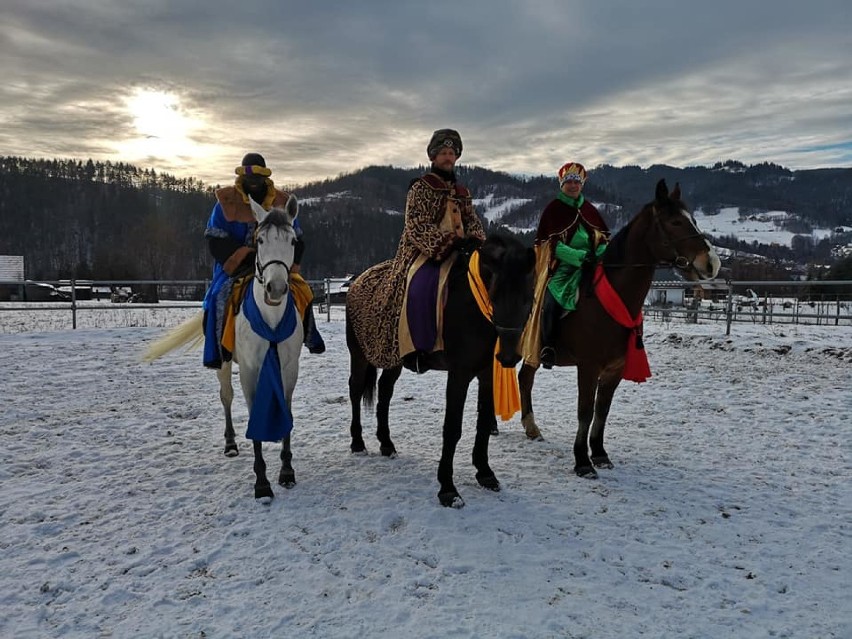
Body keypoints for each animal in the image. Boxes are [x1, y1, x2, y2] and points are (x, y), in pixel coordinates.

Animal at [146, 195, 302, 504]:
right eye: (260, 240)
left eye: (292, 241)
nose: (276, 289)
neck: (271, 318)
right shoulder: (251, 372)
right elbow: (253, 417)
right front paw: (262, 483)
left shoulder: (289, 369)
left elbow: (286, 410)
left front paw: (286, 470)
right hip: (225, 363)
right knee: (226, 397)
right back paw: (230, 442)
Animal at [344, 235, 532, 510]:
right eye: (495, 295)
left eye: (529, 298)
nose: (508, 357)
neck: (470, 306)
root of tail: (357, 282)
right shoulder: (459, 374)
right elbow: (452, 428)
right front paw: (447, 489)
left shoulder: (486, 373)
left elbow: (483, 423)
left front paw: (485, 473)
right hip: (359, 355)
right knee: (356, 390)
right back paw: (358, 442)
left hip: (393, 360)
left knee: (385, 392)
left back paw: (386, 444)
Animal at [520, 178, 720, 478]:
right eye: (674, 222)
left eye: (693, 220)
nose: (711, 263)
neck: (608, 300)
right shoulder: (588, 367)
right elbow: (585, 411)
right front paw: (582, 462)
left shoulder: (614, 369)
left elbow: (602, 411)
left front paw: (600, 454)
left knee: (524, 378)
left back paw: (531, 428)